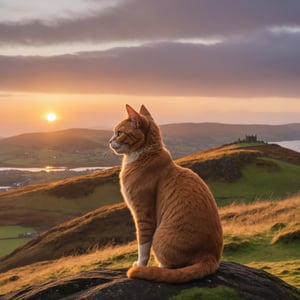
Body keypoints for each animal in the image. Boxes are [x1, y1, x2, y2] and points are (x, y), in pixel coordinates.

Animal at [110, 104, 223, 282]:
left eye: (119, 133)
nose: (109, 141)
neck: (142, 156)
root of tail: (211, 257)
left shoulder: (143, 213)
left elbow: (143, 244)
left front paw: (140, 264)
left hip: (159, 236)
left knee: (170, 267)